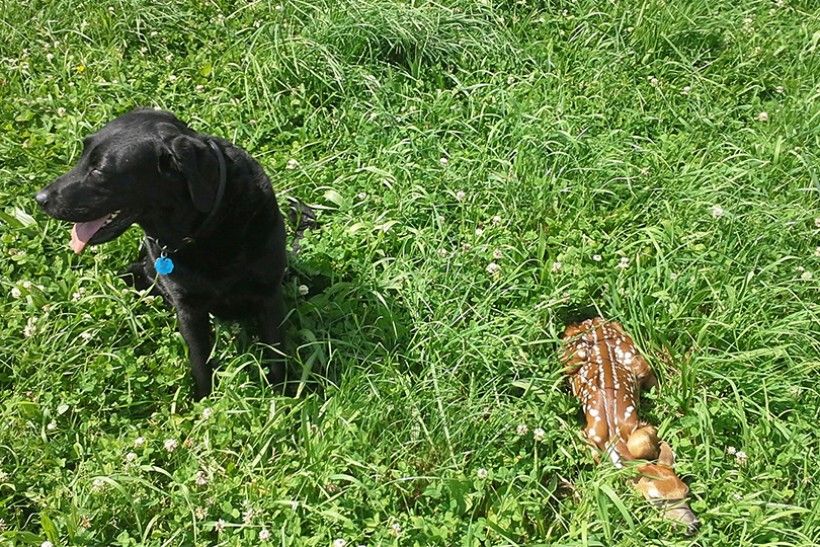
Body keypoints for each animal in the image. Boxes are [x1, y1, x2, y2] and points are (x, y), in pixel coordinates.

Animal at [37, 109, 288, 400]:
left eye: (99, 170)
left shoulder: (268, 295)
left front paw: (285, 397)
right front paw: (205, 403)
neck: (205, 230)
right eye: (82, 155)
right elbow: (200, 363)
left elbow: (277, 354)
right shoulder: (188, 309)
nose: (40, 199)